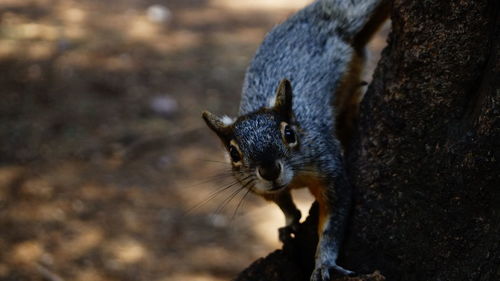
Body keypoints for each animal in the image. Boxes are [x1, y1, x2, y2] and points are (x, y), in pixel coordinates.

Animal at [201, 1, 388, 278]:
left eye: (289, 134)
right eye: (234, 153)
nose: (269, 171)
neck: (295, 177)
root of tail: (312, 18)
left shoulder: (328, 167)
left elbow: (334, 217)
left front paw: (324, 262)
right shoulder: (257, 186)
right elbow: (281, 202)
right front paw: (290, 221)